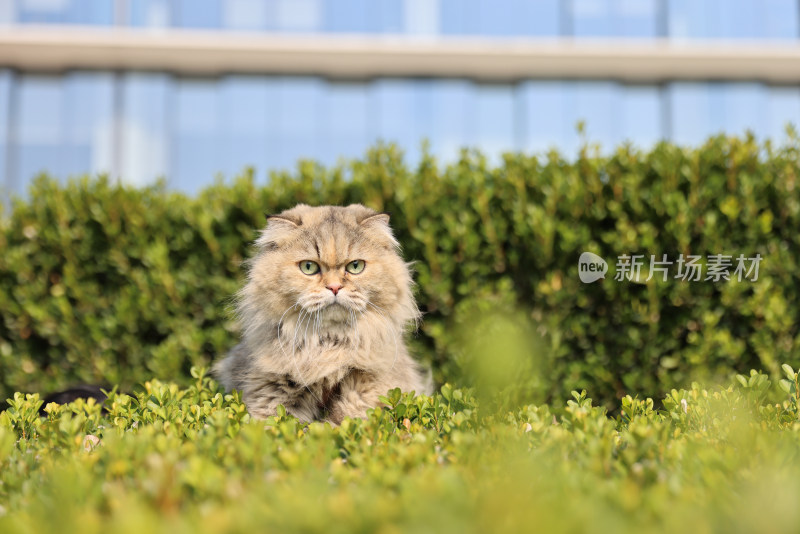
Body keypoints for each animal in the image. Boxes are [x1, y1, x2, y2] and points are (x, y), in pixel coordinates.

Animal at [212, 203, 432, 426]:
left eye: (355, 266)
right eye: (309, 267)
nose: (334, 287)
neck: (329, 346)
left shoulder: (367, 391)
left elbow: (343, 420)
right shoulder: (271, 396)